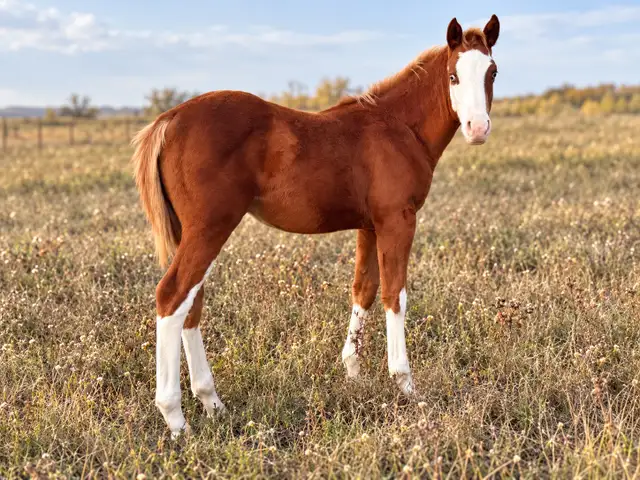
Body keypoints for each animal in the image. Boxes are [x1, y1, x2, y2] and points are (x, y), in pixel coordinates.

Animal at [131, 15, 501, 438]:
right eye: (453, 76)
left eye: (492, 71)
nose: (477, 128)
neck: (398, 127)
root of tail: (170, 118)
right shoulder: (398, 220)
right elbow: (395, 295)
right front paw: (405, 385)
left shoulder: (370, 226)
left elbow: (364, 290)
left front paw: (354, 374)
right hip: (210, 228)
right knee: (172, 297)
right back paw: (176, 419)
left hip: (188, 232)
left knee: (191, 303)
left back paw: (212, 403)